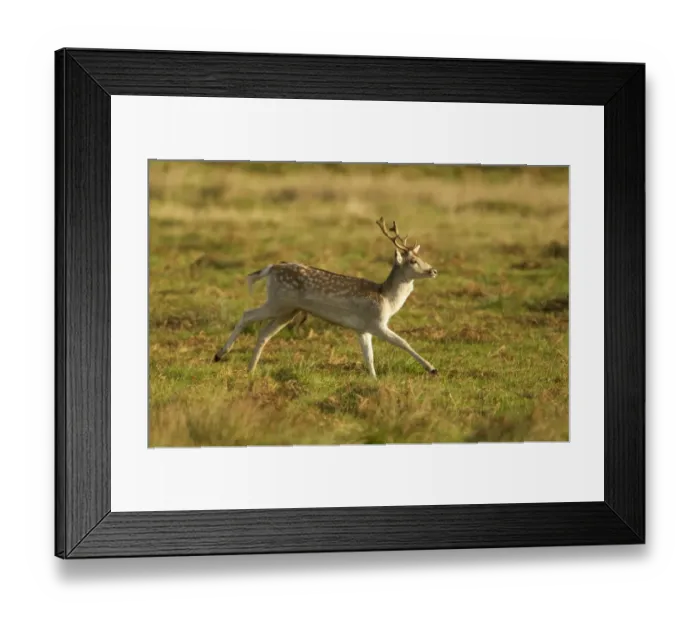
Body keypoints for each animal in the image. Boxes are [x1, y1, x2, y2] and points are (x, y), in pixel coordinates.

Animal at [212, 217, 439, 378]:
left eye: (421, 257)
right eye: (412, 260)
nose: (433, 270)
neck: (387, 300)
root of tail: (271, 268)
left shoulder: (363, 329)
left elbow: (369, 357)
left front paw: (374, 380)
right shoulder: (376, 323)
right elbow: (403, 342)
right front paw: (432, 369)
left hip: (287, 310)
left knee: (264, 333)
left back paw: (250, 370)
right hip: (277, 301)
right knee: (247, 314)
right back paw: (219, 355)